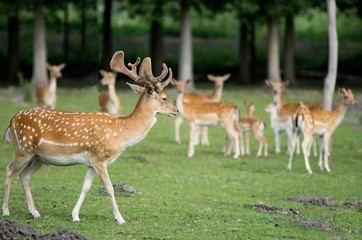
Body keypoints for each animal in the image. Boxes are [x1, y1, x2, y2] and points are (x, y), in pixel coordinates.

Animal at [1, 51, 177, 225]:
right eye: (164, 98)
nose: (175, 110)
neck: (121, 133)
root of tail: (12, 121)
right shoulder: (99, 157)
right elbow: (109, 187)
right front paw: (120, 219)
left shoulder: (91, 162)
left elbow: (85, 187)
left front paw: (75, 216)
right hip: (22, 149)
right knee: (9, 170)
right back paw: (6, 211)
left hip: (38, 156)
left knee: (24, 175)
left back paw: (35, 212)